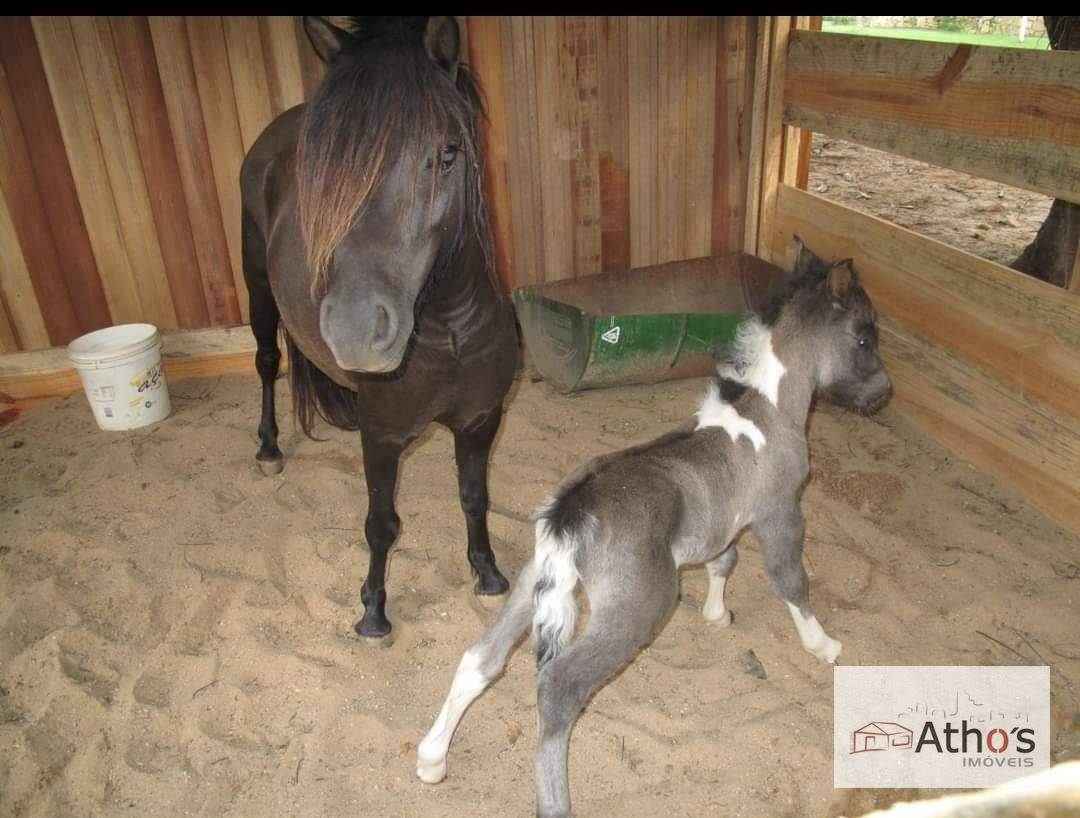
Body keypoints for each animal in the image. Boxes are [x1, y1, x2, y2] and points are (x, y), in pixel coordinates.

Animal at [241, 14, 518, 639]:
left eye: (447, 153)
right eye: (324, 170)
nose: (355, 329)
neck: (448, 331)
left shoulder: (480, 420)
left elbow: (474, 497)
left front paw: (488, 575)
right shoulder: (385, 436)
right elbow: (382, 524)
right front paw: (373, 611)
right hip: (257, 289)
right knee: (266, 362)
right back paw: (268, 448)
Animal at [416, 238, 889, 812]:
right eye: (863, 335)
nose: (883, 393)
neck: (768, 408)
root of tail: (573, 510)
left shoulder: (722, 519)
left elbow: (723, 559)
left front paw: (717, 615)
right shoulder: (781, 511)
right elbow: (790, 580)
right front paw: (823, 646)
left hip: (533, 580)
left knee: (480, 657)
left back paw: (431, 761)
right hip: (640, 605)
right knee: (557, 687)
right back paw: (553, 802)